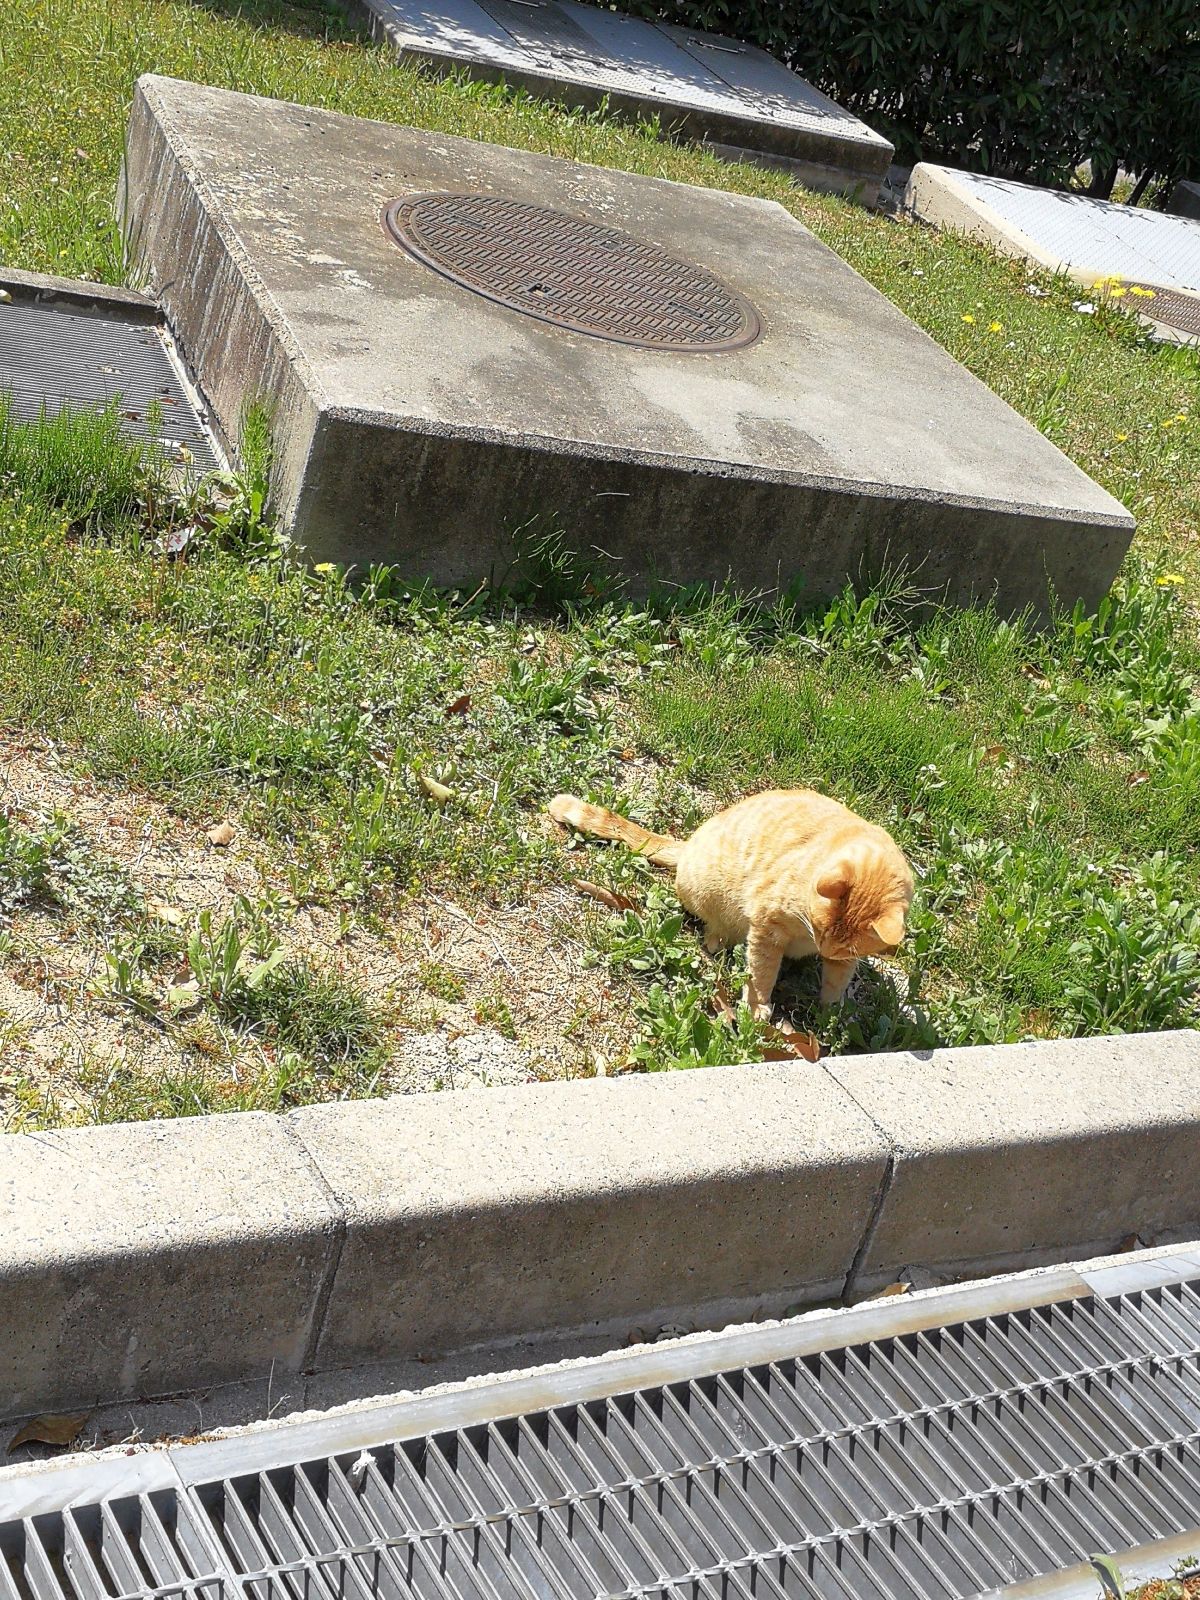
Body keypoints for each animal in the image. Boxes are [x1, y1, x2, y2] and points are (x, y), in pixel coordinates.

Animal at [547, 790, 908, 1024]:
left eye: (844, 945)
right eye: (820, 928)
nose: (824, 948)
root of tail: (689, 844)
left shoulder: (844, 961)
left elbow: (837, 982)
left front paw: (832, 1013)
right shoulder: (767, 929)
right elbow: (762, 973)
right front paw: (759, 1006)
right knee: (712, 935)